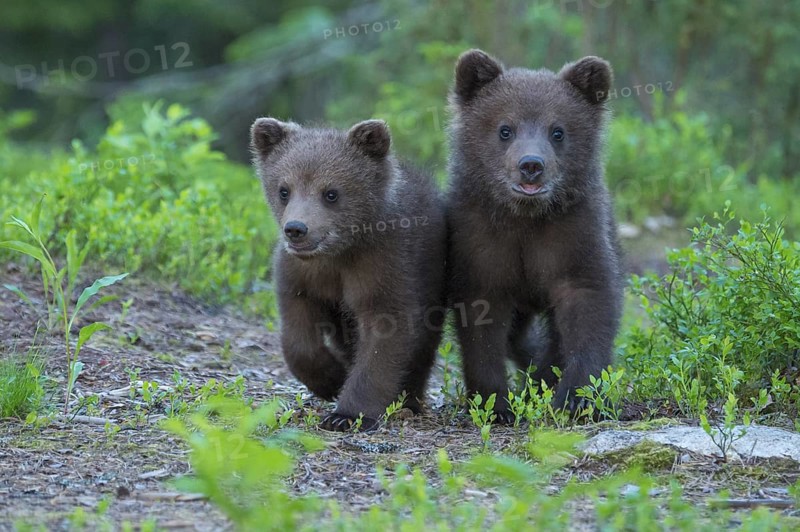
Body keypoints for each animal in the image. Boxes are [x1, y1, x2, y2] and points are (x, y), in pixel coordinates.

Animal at [250, 117, 447, 431]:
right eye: (284, 190)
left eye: (331, 193)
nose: (296, 228)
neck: (337, 253)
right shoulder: (300, 274)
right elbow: (297, 332)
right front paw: (332, 378)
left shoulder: (382, 265)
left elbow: (384, 334)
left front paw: (346, 414)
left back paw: (409, 399)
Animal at [445, 49, 623, 422]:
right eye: (505, 129)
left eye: (558, 131)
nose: (531, 165)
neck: (526, 217)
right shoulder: (480, 240)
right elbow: (482, 318)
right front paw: (494, 402)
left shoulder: (574, 234)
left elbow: (588, 302)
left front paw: (576, 398)